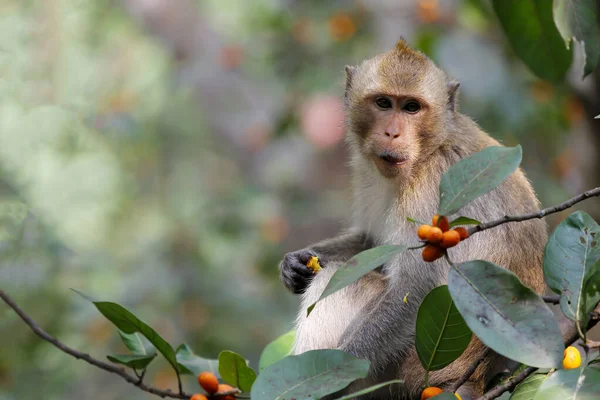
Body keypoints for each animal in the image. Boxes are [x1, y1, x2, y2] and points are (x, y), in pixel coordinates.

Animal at [278, 39, 548, 398]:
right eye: (383, 103)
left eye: (411, 108)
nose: (392, 133)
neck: (429, 149)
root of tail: (475, 378)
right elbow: (371, 242)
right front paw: (295, 263)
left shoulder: (430, 190)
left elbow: (415, 290)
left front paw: (330, 376)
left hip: (410, 371)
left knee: (338, 280)